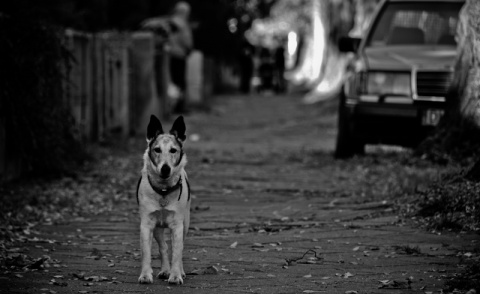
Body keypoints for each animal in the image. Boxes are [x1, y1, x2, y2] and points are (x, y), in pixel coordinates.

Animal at [136, 115, 190, 284]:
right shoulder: (146, 224)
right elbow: (146, 253)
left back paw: (179, 271)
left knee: (179, 247)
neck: (164, 191)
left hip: (186, 222)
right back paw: (165, 270)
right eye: (157, 149)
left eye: (173, 150)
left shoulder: (178, 225)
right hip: (158, 228)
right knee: (164, 247)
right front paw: (145, 275)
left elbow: (177, 252)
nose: (165, 169)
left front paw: (176, 275)